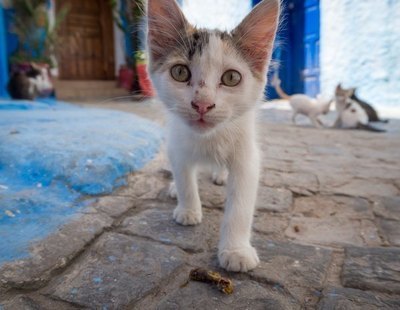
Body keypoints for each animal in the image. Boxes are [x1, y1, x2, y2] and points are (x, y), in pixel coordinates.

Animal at [145, 0, 280, 272]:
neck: (210, 139)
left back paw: (220, 175)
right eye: (180, 72)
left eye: (231, 78)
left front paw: (236, 250)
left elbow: (240, 205)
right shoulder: (176, 144)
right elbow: (185, 178)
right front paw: (188, 208)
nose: (202, 104)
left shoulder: (247, 156)